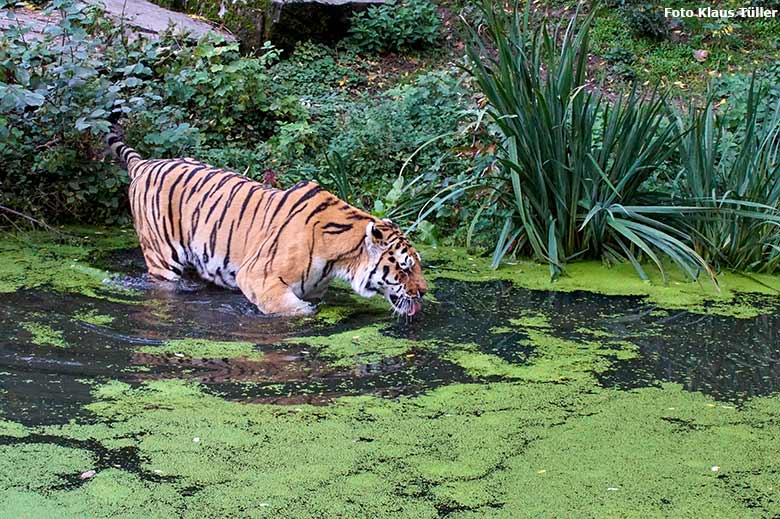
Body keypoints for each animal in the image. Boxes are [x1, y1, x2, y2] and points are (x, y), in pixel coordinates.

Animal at [105, 133, 426, 316]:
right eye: (404, 267)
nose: (424, 292)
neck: (339, 260)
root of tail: (145, 163)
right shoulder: (257, 276)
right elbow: (293, 310)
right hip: (162, 261)